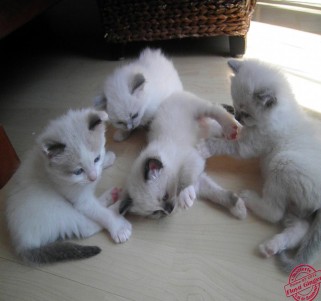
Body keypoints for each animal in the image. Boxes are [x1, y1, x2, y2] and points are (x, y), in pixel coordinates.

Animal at [5, 109, 131, 264]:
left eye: (96, 158)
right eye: (78, 171)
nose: (93, 178)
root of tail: (22, 244)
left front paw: (106, 159)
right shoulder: (78, 199)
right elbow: (99, 213)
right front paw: (118, 227)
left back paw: (110, 196)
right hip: (58, 210)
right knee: (87, 226)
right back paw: (117, 207)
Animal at [117, 90, 245, 219]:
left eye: (165, 196)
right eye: (156, 212)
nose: (169, 210)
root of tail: (172, 94)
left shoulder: (193, 159)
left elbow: (186, 180)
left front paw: (185, 194)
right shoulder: (199, 180)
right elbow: (216, 194)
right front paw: (238, 207)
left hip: (198, 109)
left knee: (215, 109)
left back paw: (231, 127)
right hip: (212, 128)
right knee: (218, 126)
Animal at [198, 58, 320, 272]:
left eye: (247, 114)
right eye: (236, 107)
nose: (238, 116)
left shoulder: (247, 146)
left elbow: (224, 145)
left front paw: (206, 145)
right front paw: (224, 120)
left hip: (282, 165)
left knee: (274, 213)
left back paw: (249, 197)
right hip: (297, 206)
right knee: (298, 229)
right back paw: (271, 247)